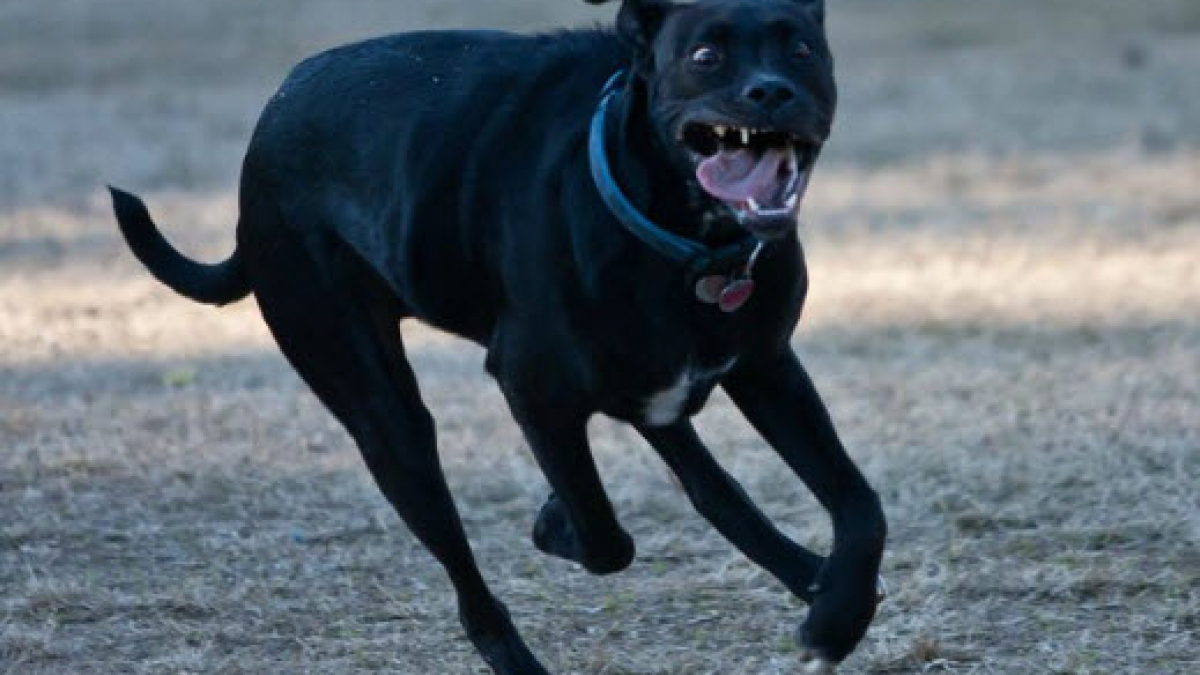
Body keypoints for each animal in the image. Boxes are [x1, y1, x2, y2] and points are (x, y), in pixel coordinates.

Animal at [110, 2, 883, 667]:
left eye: (802, 49)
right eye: (705, 55)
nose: (771, 91)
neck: (684, 243)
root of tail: (263, 141)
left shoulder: (765, 367)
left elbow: (859, 504)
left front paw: (837, 617)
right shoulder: (533, 392)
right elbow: (602, 535)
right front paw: (555, 522)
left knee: (706, 481)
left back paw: (809, 574)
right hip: (386, 419)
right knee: (474, 591)